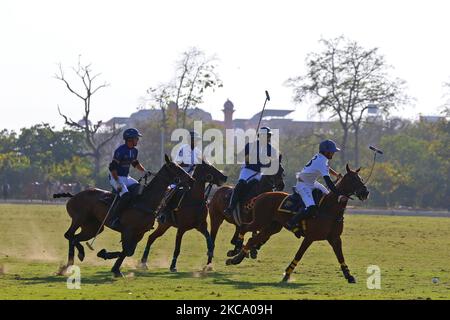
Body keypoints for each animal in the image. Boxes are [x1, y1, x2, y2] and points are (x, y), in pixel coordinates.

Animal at [56, 155, 193, 278]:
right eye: (175, 168)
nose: (191, 179)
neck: (145, 201)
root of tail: (74, 195)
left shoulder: (140, 233)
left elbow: (129, 251)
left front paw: (114, 266)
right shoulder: (128, 230)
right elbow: (126, 250)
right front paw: (106, 257)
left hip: (93, 228)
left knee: (75, 237)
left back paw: (71, 263)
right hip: (79, 218)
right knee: (69, 235)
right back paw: (77, 256)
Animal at [225, 164, 370, 284]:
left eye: (361, 178)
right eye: (353, 180)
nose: (365, 192)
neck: (329, 209)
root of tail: (260, 196)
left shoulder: (335, 238)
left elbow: (340, 256)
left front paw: (349, 276)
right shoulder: (310, 237)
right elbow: (299, 255)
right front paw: (287, 274)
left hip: (272, 227)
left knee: (252, 239)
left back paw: (236, 258)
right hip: (260, 221)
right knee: (244, 228)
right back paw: (236, 251)